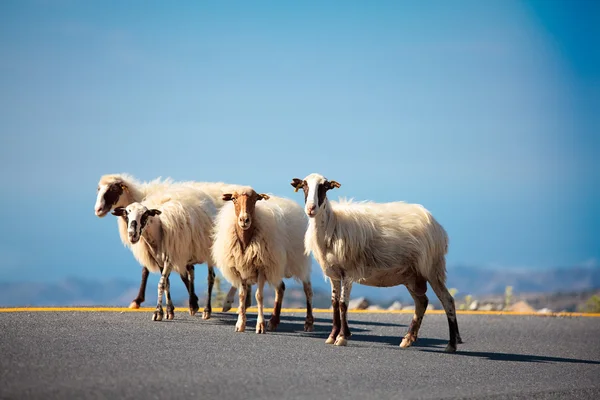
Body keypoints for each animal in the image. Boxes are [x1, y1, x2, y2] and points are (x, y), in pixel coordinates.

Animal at [111, 185, 217, 322]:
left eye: (145, 214)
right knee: (191, 273)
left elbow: (161, 284)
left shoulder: (169, 259)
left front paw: (158, 312)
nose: (132, 235)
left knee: (211, 278)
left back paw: (207, 310)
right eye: (126, 214)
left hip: (208, 252)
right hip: (186, 252)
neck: (159, 230)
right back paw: (192, 305)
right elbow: (167, 283)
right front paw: (169, 311)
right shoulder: (160, 261)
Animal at [290, 173, 464, 352]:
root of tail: (437, 226)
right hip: (412, 276)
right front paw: (332, 336)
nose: (311, 209)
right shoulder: (334, 275)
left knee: (447, 301)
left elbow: (343, 304)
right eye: (304, 186)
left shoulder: (348, 272)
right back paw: (408, 339)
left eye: (324, 187)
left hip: (432, 268)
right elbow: (334, 303)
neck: (333, 224)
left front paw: (342, 337)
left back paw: (451, 344)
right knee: (421, 302)